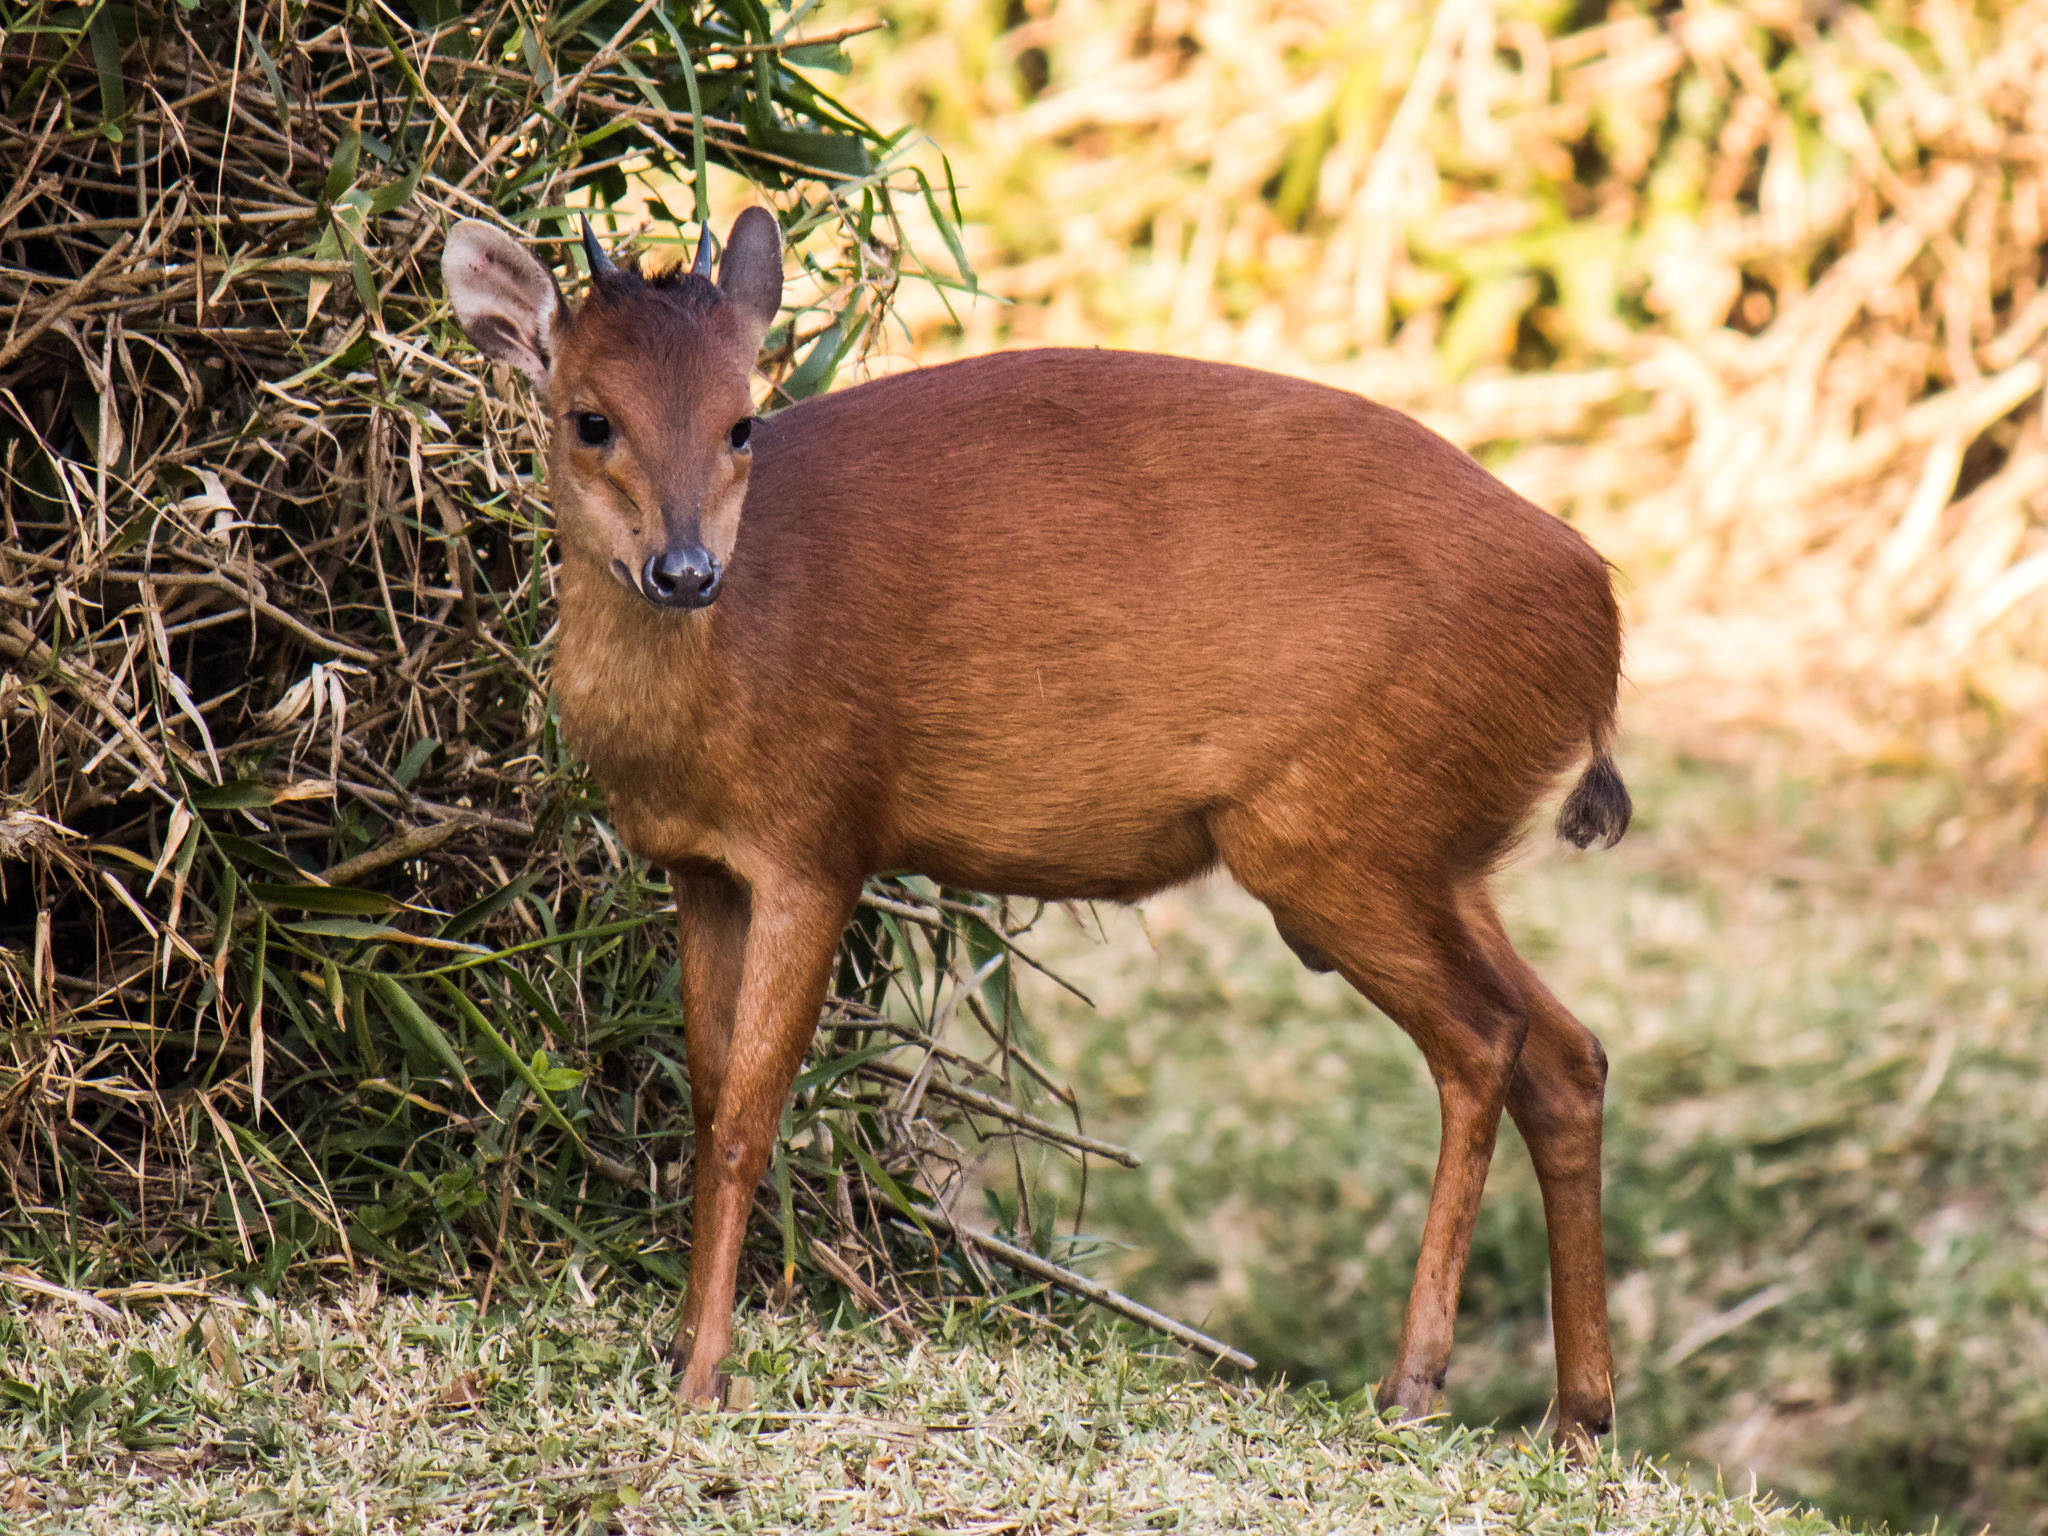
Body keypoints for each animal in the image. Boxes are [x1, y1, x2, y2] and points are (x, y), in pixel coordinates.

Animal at [444, 210, 1630, 1449]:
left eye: (740, 421)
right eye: (590, 418)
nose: (683, 570)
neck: (715, 683)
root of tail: (1595, 614)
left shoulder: (818, 840)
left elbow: (747, 1119)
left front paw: (704, 1375)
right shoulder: (699, 868)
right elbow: (707, 1094)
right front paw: (680, 1348)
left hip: (1333, 837)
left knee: (1483, 1040)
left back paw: (1412, 1384)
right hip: (1433, 847)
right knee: (1566, 1053)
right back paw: (1576, 1414)